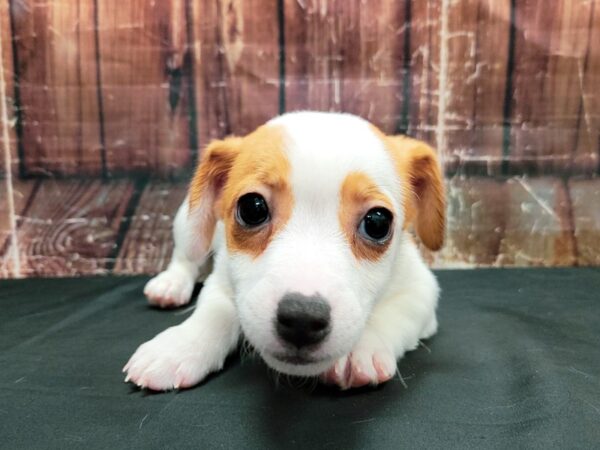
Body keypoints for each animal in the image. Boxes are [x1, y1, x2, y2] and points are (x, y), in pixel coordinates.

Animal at [122, 111, 442, 390]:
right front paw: (180, 345)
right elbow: (214, 313)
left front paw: (360, 348)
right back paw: (170, 285)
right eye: (252, 208)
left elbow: (397, 313)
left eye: (377, 222)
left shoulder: (422, 290)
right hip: (188, 223)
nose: (302, 320)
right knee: (186, 256)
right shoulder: (223, 279)